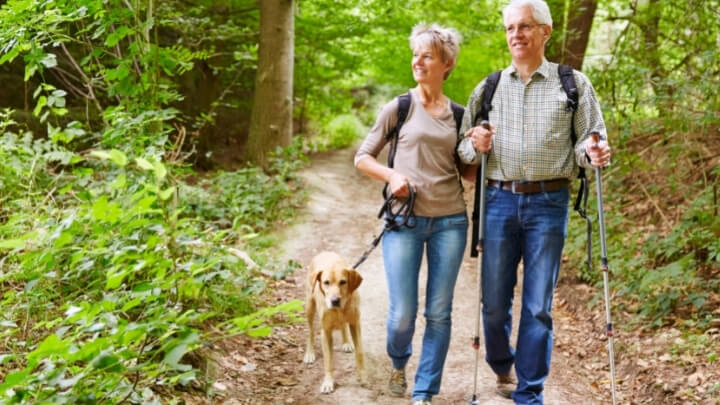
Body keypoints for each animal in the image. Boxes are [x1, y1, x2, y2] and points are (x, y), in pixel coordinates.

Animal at [302, 251, 366, 392]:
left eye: (343, 282)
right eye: (326, 282)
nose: (335, 300)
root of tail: (324, 252)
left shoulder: (355, 323)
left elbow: (359, 352)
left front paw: (362, 375)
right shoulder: (325, 331)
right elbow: (328, 360)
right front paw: (328, 382)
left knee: (343, 326)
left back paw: (346, 342)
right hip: (309, 306)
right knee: (310, 331)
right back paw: (309, 353)